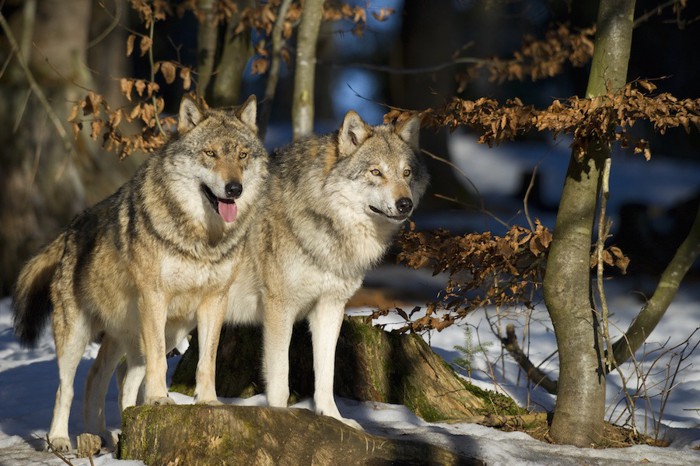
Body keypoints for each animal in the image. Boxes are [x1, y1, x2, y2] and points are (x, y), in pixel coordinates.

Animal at [10, 95, 270, 452]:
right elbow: (160, 361)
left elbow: (207, 362)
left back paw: (106, 435)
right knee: (68, 387)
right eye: (210, 153)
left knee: (105, 378)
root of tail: (69, 229)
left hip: (148, 334)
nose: (234, 189)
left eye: (242, 155)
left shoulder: (214, 301)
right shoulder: (154, 298)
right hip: (77, 335)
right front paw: (160, 400)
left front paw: (209, 402)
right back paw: (61, 439)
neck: (202, 239)